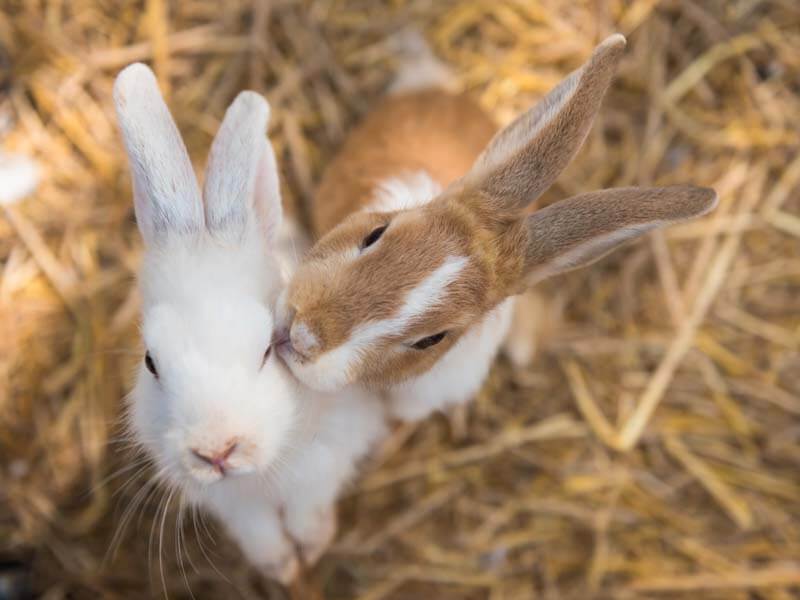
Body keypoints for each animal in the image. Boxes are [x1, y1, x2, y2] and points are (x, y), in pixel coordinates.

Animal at [114, 64, 386, 580]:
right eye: (151, 362)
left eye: (267, 349)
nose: (216, 451)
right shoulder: (235, 506)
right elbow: (258, 531)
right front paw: (281, 567)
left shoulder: (323, 464)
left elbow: (306, 509)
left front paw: (311, 547)